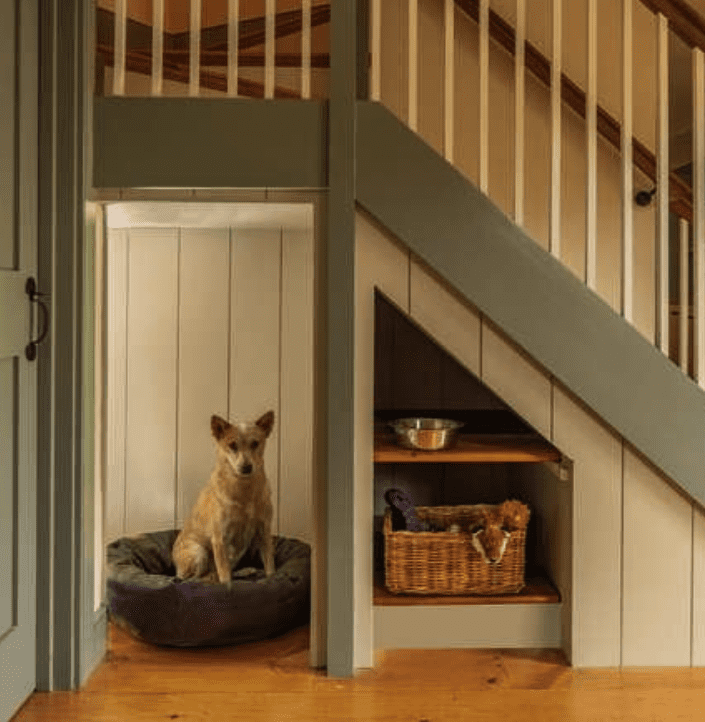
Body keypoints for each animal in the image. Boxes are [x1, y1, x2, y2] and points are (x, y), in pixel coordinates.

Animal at [172, 408, 276, 584]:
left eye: (255, 443)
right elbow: (225, 576)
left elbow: (270, 564)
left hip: (238, 551)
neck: (244, 490)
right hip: (199, 552)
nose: (246, 467)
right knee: (192, 579)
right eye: (232, 445)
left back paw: (244, 572)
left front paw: (272, 578)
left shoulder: (264, 531)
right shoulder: (220, 538)